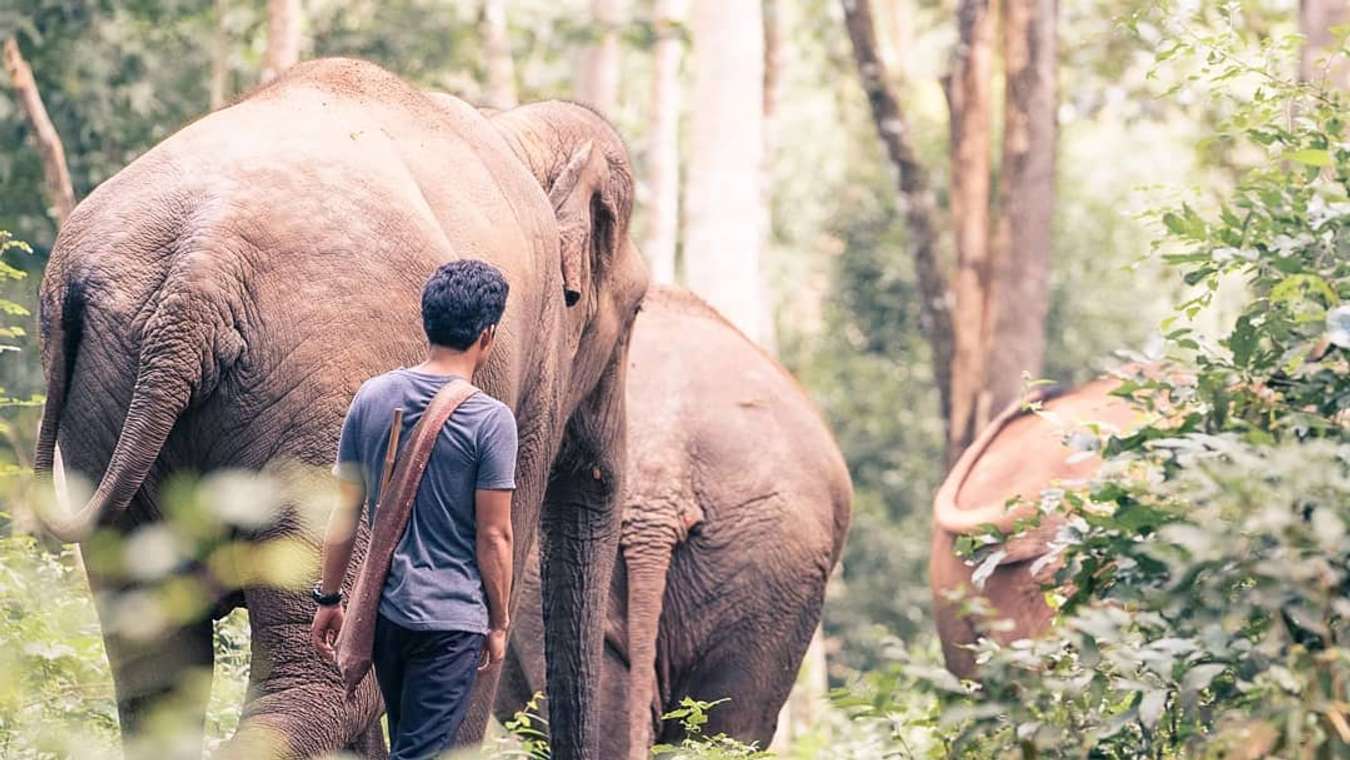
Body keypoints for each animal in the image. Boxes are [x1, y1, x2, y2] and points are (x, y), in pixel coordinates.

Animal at [29, 61, 645, 760]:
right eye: (637, 312)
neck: (512, 126)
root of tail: (199, 267)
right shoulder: (527, 383)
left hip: (108, 397)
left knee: (155, 660)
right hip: (327, 398)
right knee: (321, 684)